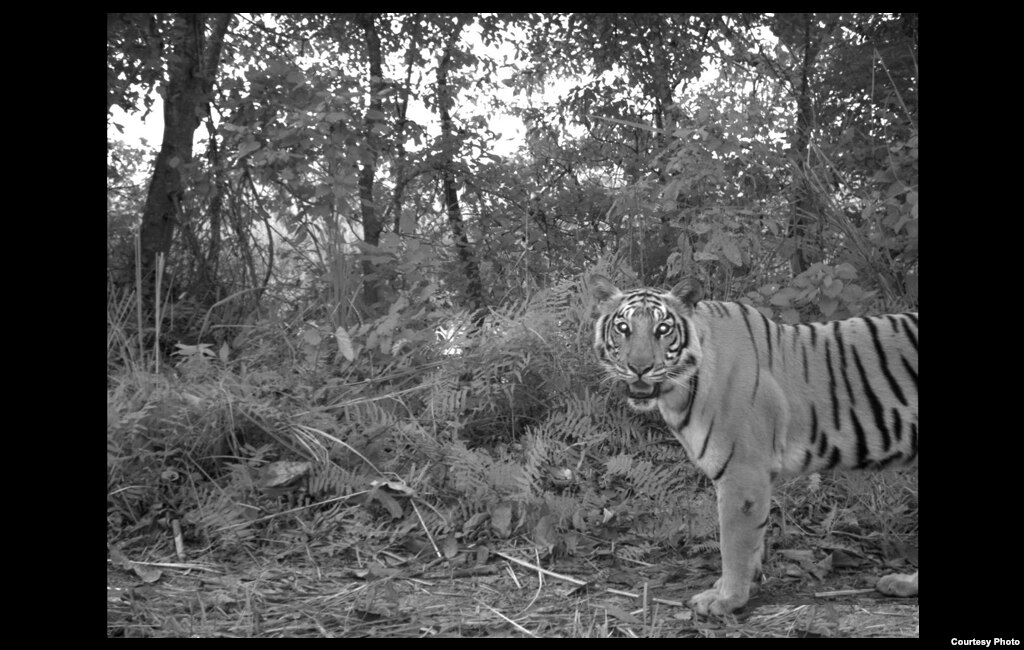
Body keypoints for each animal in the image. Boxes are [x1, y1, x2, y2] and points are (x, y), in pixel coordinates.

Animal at [585, 274, 921, 614]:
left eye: (663, 329)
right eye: (623, 328)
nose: (639, 367)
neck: (680, 391)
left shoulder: (742, 471)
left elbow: (733, 541)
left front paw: (726, 599)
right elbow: (752, 540)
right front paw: (740, 586)